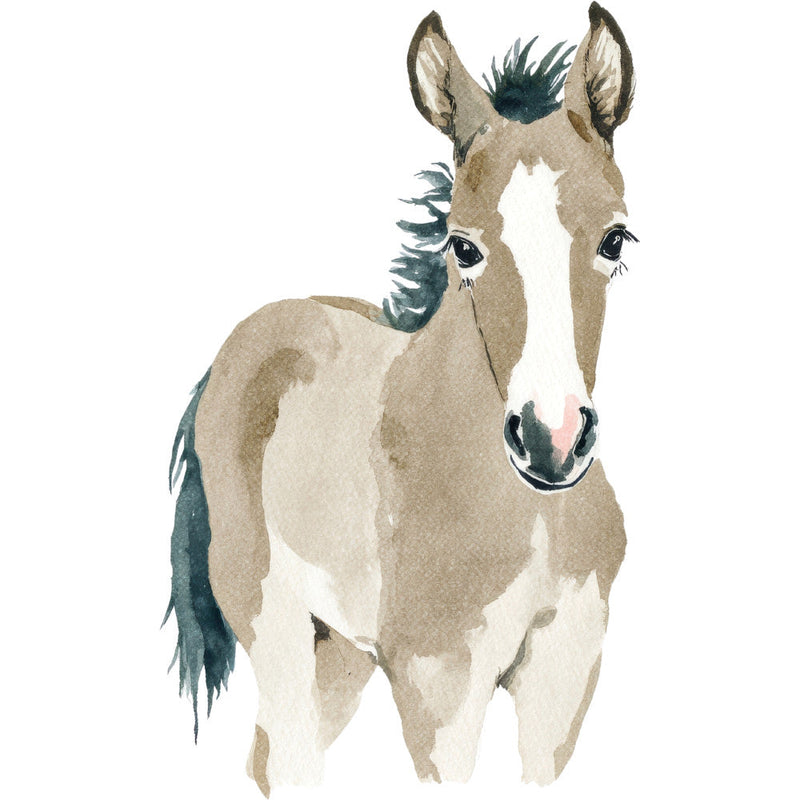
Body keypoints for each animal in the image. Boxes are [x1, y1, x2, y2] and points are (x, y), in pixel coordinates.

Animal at [165, 4, 636, 794]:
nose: (552, 440)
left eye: (615, 240)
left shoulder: (563, 679)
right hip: (274, 621)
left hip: (340, 649)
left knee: (268, 760)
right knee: (287, 756)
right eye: (464, 248)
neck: (528, 517)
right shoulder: (438, 688)